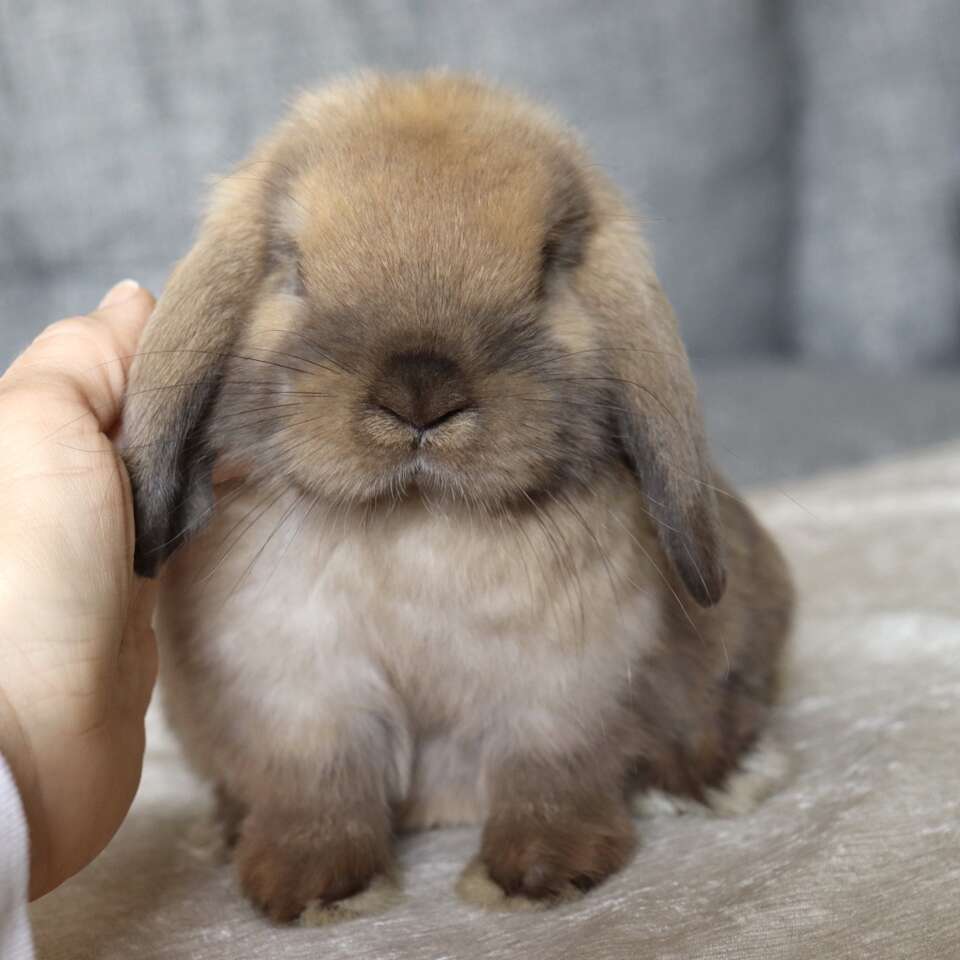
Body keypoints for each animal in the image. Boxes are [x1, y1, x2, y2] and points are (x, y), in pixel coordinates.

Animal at [122, 71, 796, 928]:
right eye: (292, 268)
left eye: (548, 270)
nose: (421, 389)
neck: (417, 519)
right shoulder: (299, 690)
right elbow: (318, 791)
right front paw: (313, 889)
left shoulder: (566, 685)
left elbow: (548, 777)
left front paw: (538, 874)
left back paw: (716, 778)